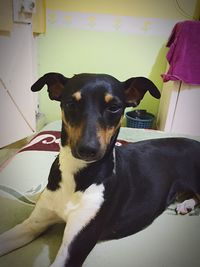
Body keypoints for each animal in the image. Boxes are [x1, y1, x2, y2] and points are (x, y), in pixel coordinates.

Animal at [0, 72, 200, 266]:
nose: (88, 149)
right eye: (71, 104)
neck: (78, 175)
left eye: (114, 107)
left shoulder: (75, 245)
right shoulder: (33, 224)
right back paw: (186, 204)